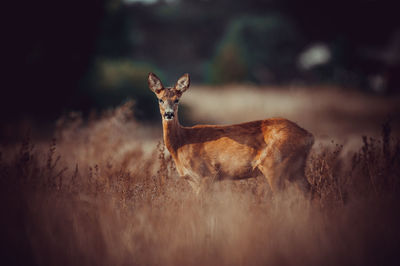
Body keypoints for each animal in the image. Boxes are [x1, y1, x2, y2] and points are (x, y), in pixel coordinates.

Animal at [148, 72, 314, 195]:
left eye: (177, 100)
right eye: (160, 99)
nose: (169, 114)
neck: (182, 143)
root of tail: (308, 136)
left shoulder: (207, 174)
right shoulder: (193, 181)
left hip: (274, 164)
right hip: (296, 168)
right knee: (309, 192)